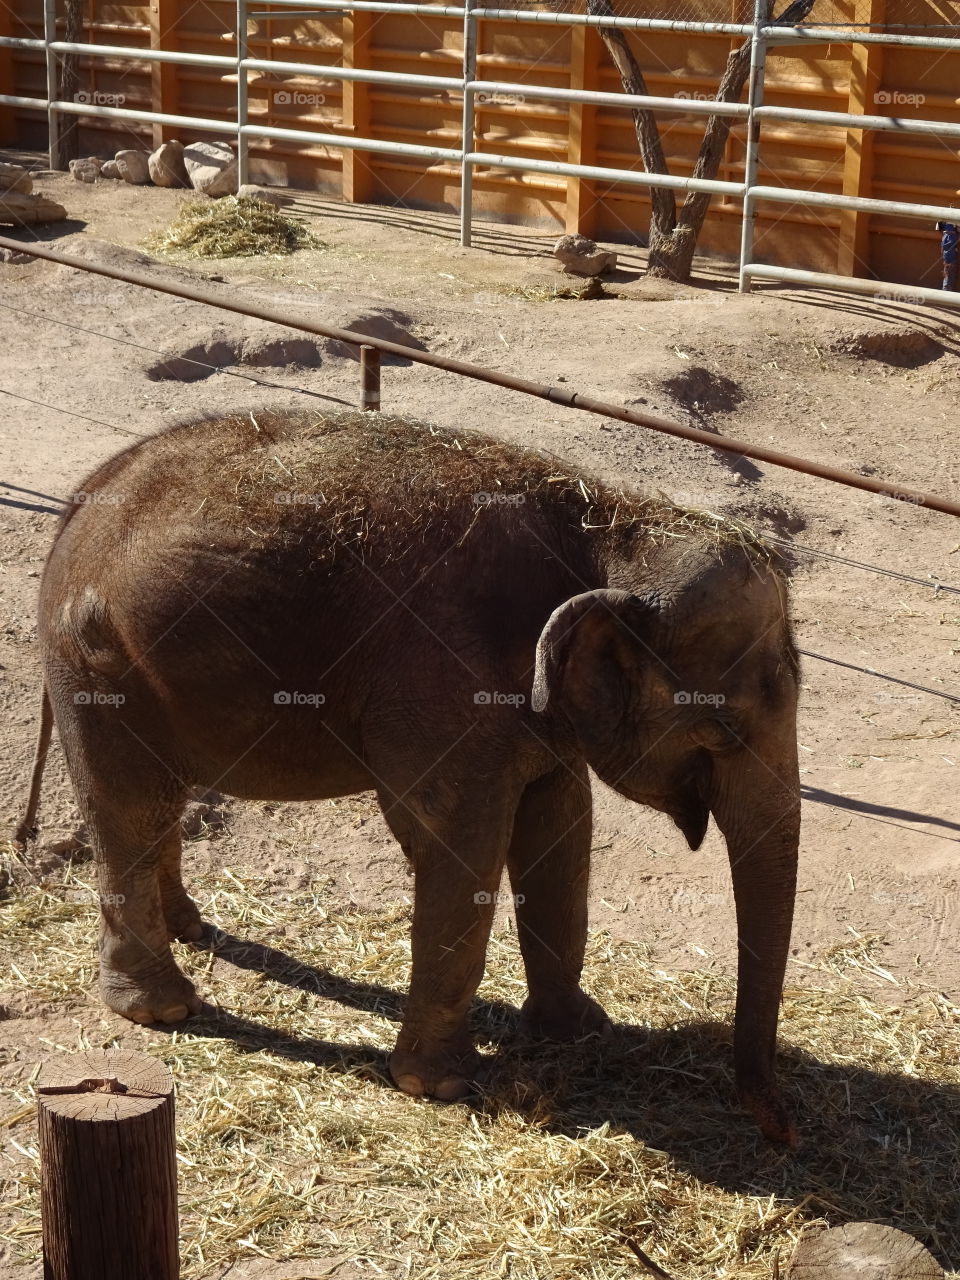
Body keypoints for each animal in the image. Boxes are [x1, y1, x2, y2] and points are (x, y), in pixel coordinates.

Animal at [15, 408, 801, 1143]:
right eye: (722, 731)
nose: (781, 1132)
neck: (611, 523)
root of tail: (81, 500)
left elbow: (561, 827)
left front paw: (580, 1031)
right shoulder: (442, 684)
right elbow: (459, 838)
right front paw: (443, 1086)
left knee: (158, 806)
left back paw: (191, 927)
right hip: (97, 669)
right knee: (130, 808)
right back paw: (163, 1008)